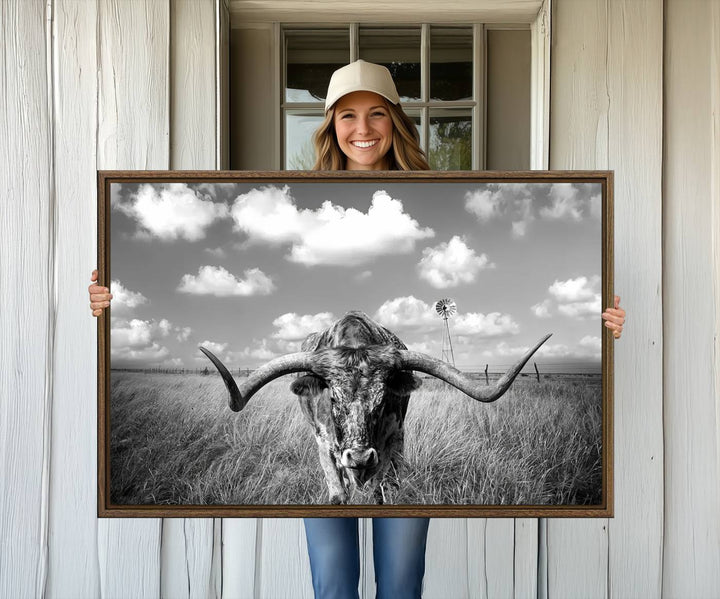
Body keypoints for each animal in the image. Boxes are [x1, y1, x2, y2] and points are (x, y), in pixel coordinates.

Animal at [200, 312, 548, 504]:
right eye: (333, 399)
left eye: (381, 402)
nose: (359, 457)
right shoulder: (324, 445)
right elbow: (338, 493)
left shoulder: (391, 443)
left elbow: (381, 490)